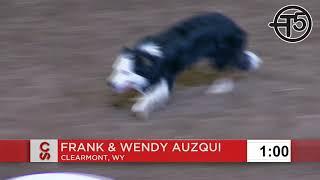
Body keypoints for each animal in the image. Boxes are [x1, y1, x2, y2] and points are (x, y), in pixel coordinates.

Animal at [107, 13, 262, 119]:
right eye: (115, 69)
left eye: (125, 72)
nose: (110, 83)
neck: (148, 57)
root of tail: (236, 27)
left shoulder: (165, 76)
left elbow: (153, 93)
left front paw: (140, 107)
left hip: (221, 56)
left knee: (228, 69)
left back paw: (220, 87)